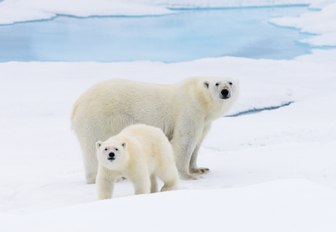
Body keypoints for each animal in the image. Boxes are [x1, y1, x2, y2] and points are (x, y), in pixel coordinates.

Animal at [71, 76, 239, 183]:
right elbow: (184, 141)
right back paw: (109, 177)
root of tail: (76, 104)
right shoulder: (189, 110)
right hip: (99, 119)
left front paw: (200, 169)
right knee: (93, 149)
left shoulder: (204, 122)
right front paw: (189, 176)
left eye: (230, 82)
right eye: (217, 83)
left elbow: (197, 143)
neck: (199, 98)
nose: (225, 91)